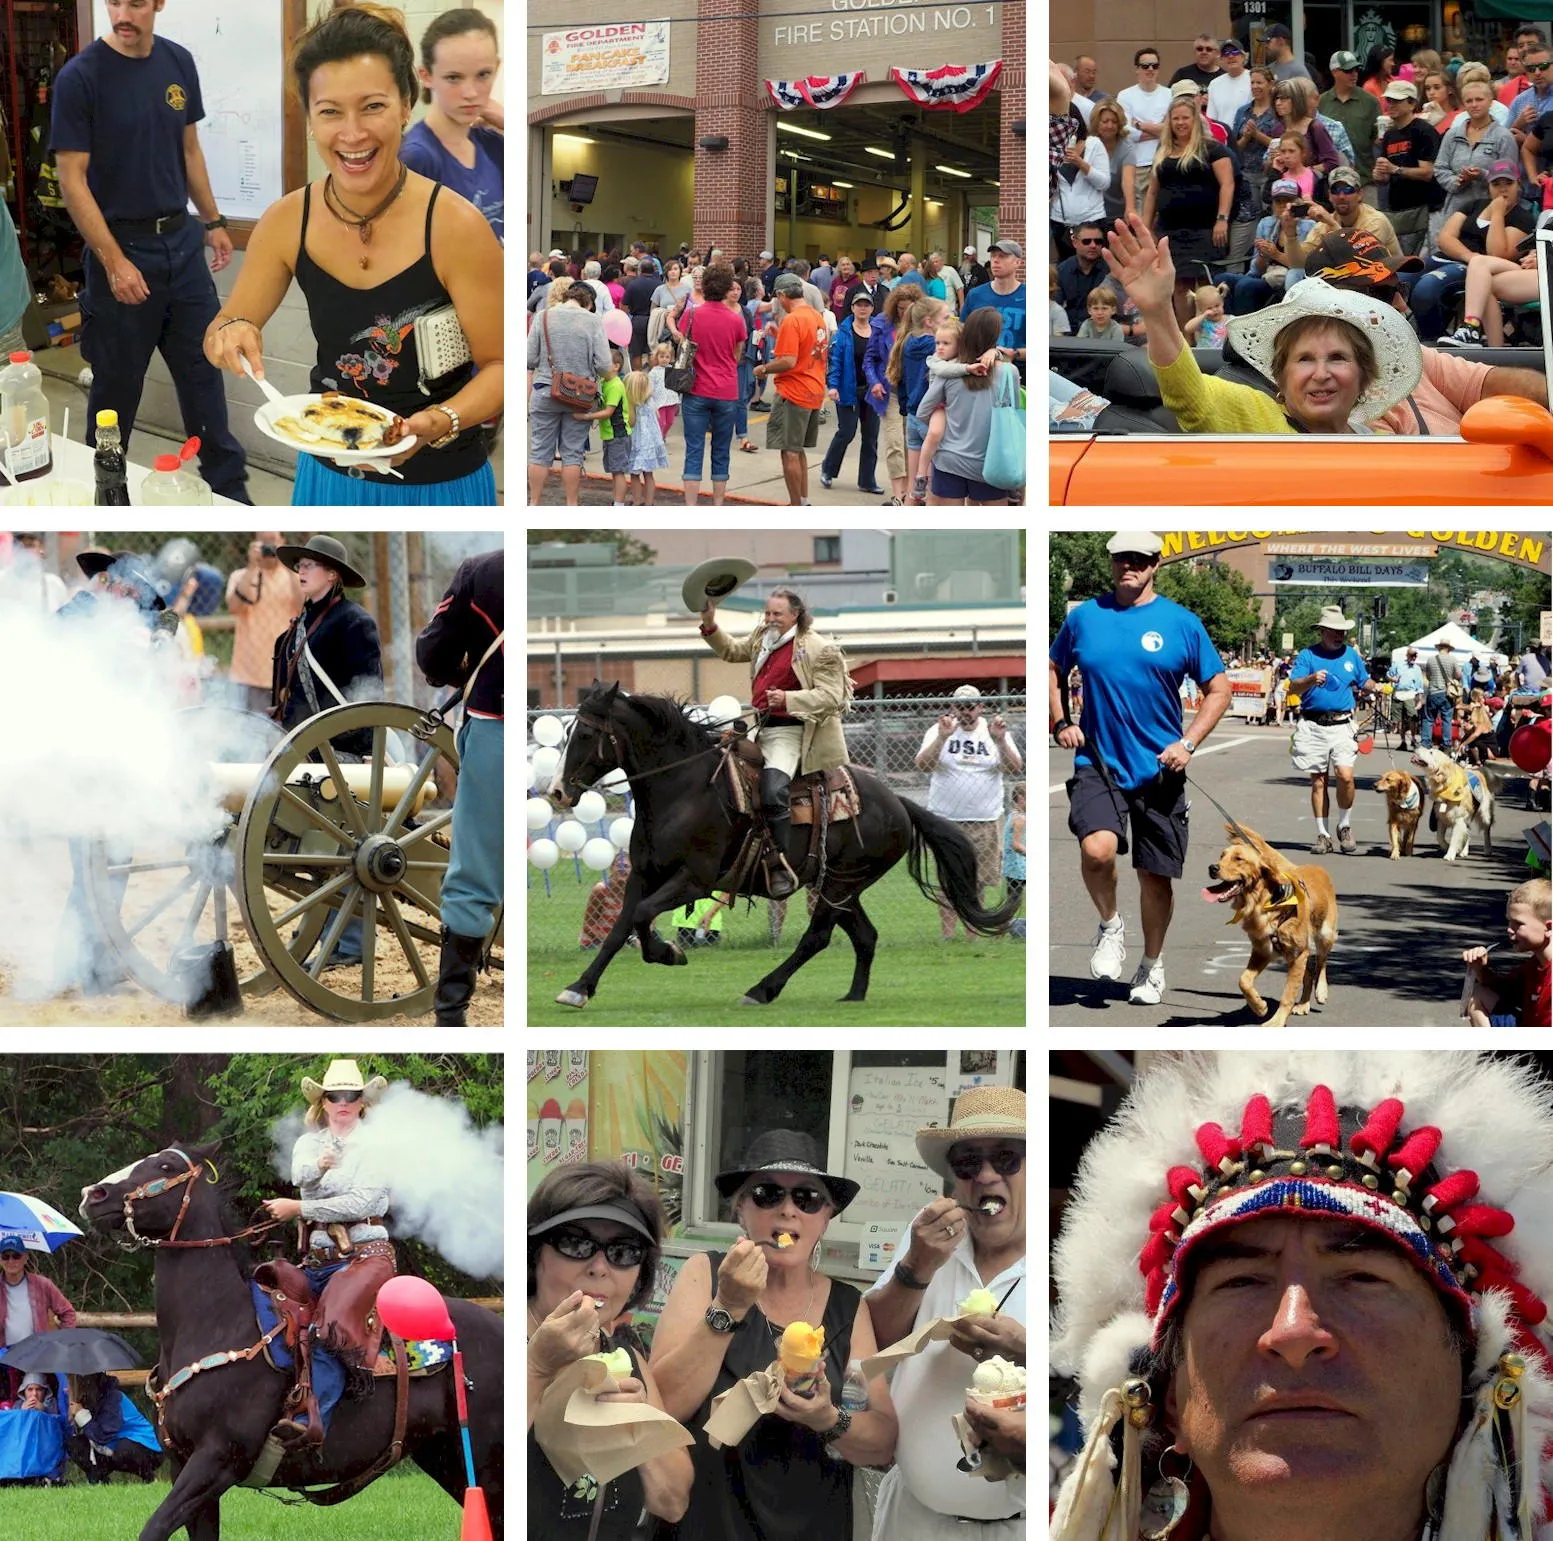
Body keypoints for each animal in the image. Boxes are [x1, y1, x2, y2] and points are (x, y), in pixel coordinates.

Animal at [80, 1143, 503, 1541]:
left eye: (166, 1166)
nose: (93, 1195)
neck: (216, 1321)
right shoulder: (184, 1465)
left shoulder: (216, 1460)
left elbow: (153, 1528)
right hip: (445, 1457)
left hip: (484, 1461)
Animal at [549, 686, 1018, 1012]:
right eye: (567, 731)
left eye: (586, 732)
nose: (556, 791)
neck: (684, 788)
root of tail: (899, 803)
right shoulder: (644, 875)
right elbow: (621, 926)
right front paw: (578, 988)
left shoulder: (694, 880)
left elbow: (643, 917)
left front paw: (668, 953)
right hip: (839, 886)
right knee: (864, 935)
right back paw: (853, 995)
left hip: (839, 884)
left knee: (817, 937)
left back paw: (762, 990)